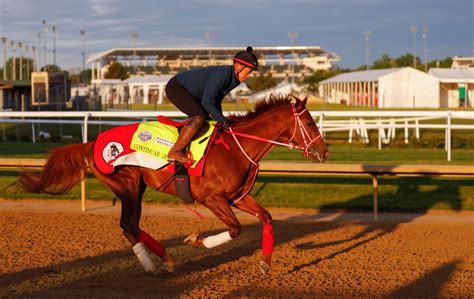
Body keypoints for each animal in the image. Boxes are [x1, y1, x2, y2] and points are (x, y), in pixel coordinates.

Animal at [19, 96, 330, 276]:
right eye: (309, 123)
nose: (324, 152)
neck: (236, 148)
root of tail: (92, 142)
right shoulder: (212, 198)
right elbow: (235, 229)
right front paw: (196, 240)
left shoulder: (238, 197)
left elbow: (266, 217)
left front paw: (265, 263)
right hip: (127, 186)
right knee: (128, 225)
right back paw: (156, 263)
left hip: (136, 188)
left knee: (129, 226)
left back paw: (162, 259)